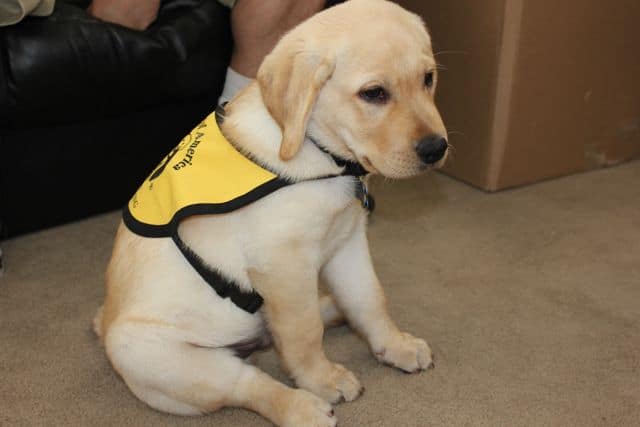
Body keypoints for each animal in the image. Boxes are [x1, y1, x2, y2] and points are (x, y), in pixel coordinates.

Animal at [94, 1, 444, 426]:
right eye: (373, 93)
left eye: (428, 79)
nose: (436, 148)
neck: (320, 154)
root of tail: (104, 324)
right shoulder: (283, 266)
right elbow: (303, 333)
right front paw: (322, 380)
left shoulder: (348, 242)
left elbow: (370, 299)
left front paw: (395, 345)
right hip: (156, 356)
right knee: (248, 383)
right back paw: (301, 407)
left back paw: (333, 307)